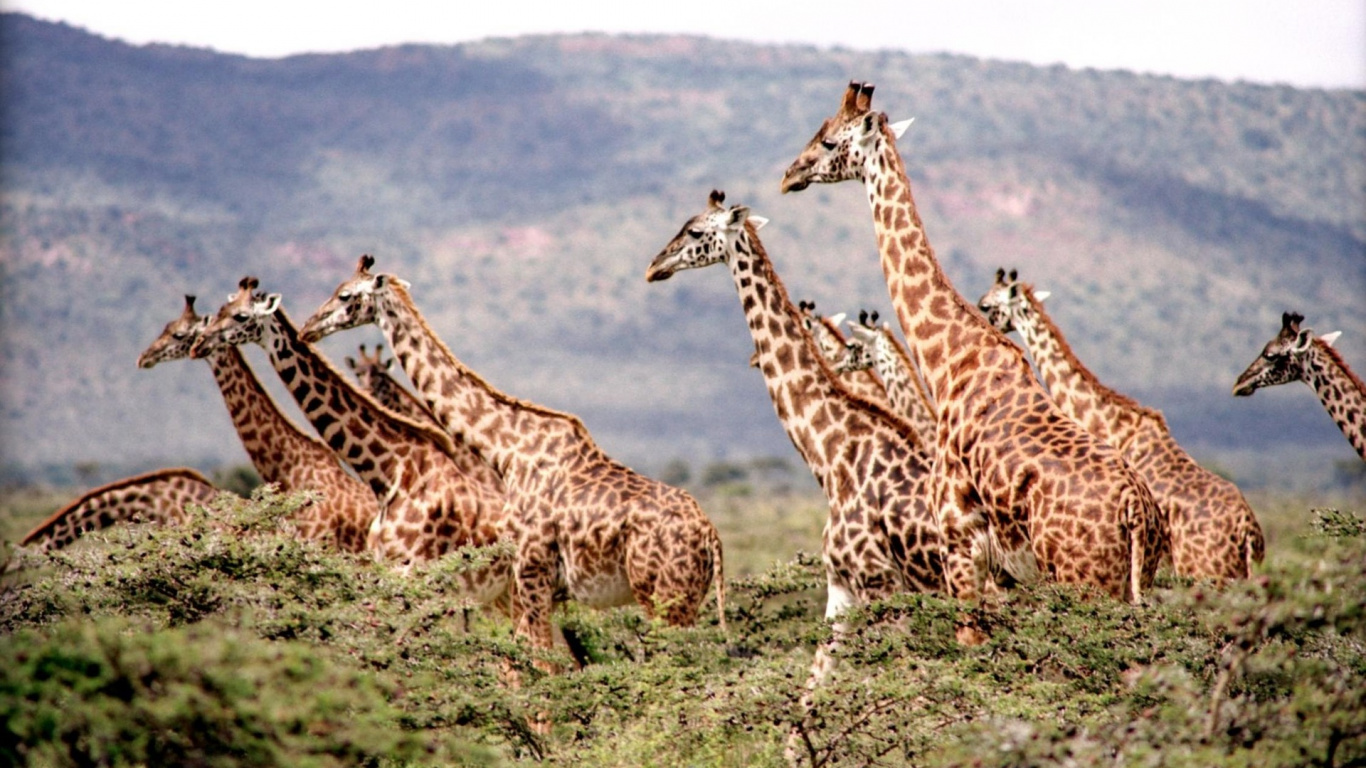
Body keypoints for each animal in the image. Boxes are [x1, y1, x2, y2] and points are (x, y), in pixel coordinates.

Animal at [298, 255, 726, 675]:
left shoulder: (532, 573)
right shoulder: (538, 586)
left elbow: (542, 667)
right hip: (684, 599)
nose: (307, 328)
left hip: (662, 596)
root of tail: (711, 538)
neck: (507, 451)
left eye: (345, 295)